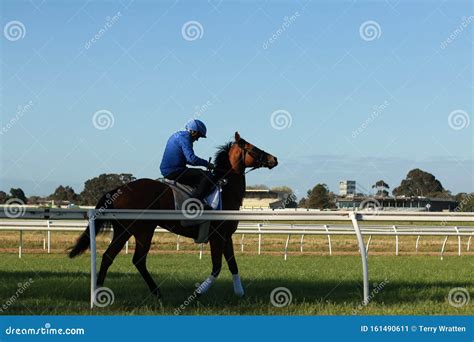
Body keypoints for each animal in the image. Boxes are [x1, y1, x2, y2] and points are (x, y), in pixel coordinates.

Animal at [68, 133, 276, 300]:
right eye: (253, 148)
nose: (274, 158)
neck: (226, 189)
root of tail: (117, 190)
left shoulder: (227, 236)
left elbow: (233, 264)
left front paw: (240, 293)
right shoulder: (217, 236)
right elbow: (217, 267)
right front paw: (198, 293)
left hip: (124, 230)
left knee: (108, 256)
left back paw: (99, 292)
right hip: (143, 230)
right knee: (138, 260)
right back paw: (156, 293)